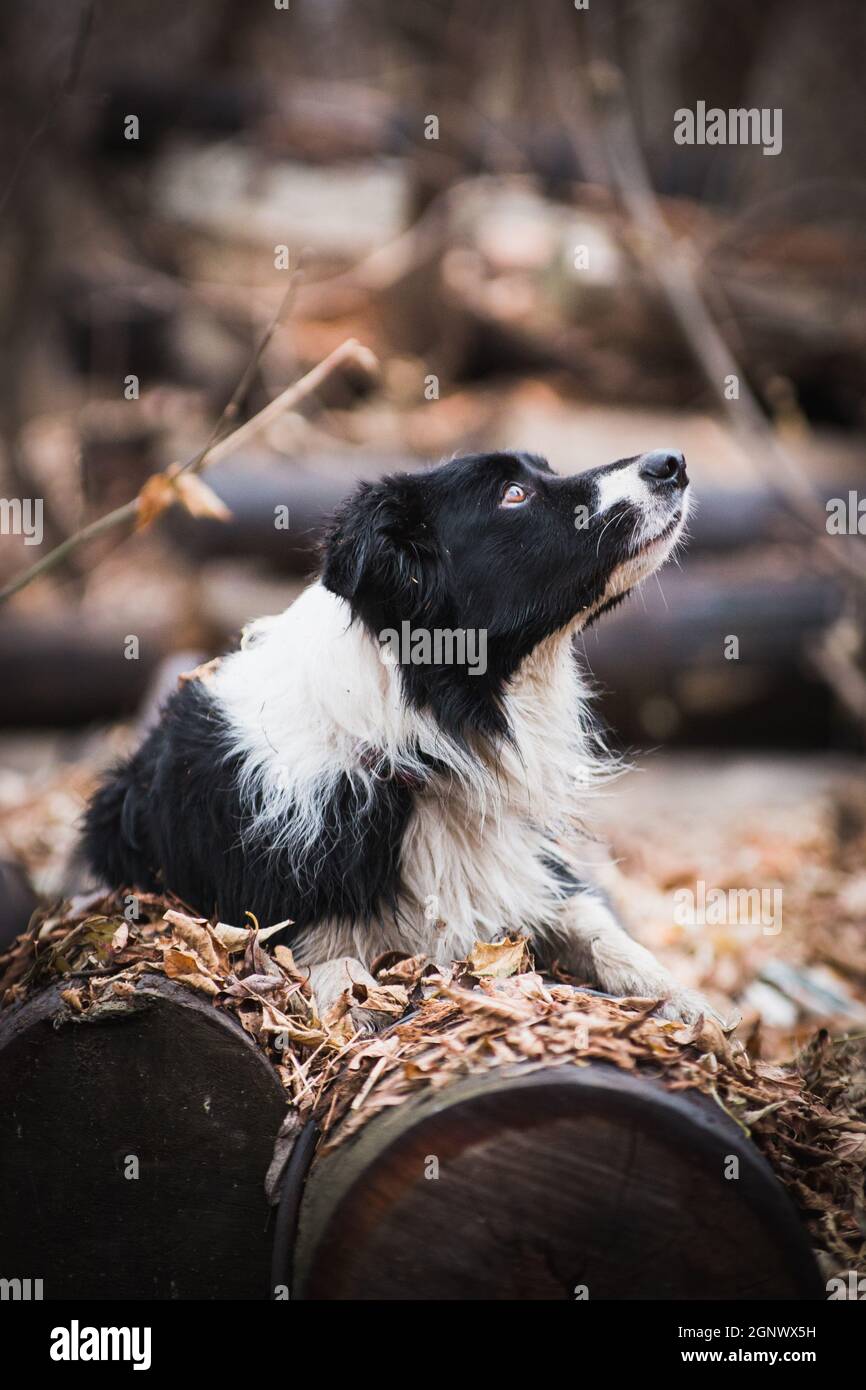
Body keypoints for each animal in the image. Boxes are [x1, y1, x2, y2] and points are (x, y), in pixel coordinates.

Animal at [83, 450, 717, 1028]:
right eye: (513, 494)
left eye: (544, 472)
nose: (672, 462)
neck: (421, 744)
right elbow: (332, 970)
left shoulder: (532, 873)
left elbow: (596, 925)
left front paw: (688, 1005)